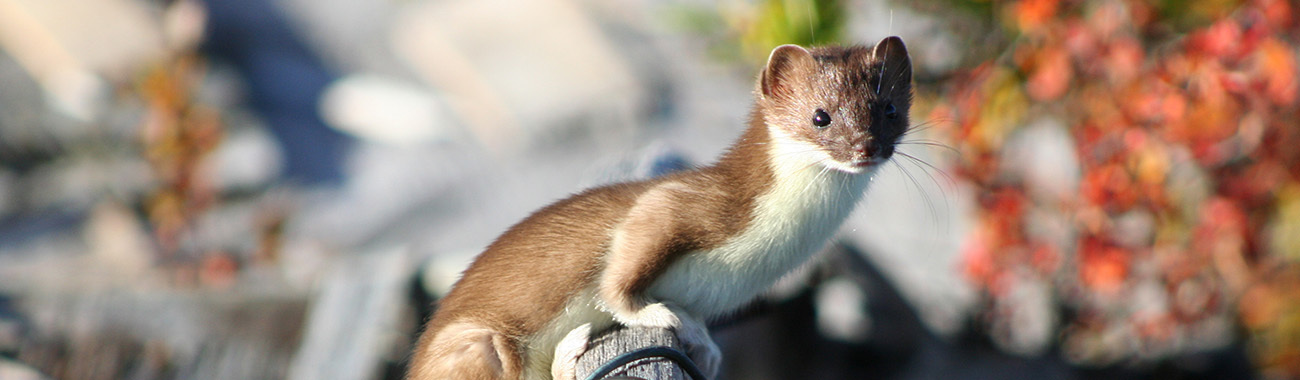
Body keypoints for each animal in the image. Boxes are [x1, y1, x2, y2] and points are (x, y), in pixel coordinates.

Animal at [408, 36, 915, 380]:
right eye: (820, 116)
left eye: (889, 109)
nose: (866, 147)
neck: (764, 254)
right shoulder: (672, 205)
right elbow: (621, 273)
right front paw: (655, 314)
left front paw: (704, 347)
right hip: (474, 342)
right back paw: (570, 351)